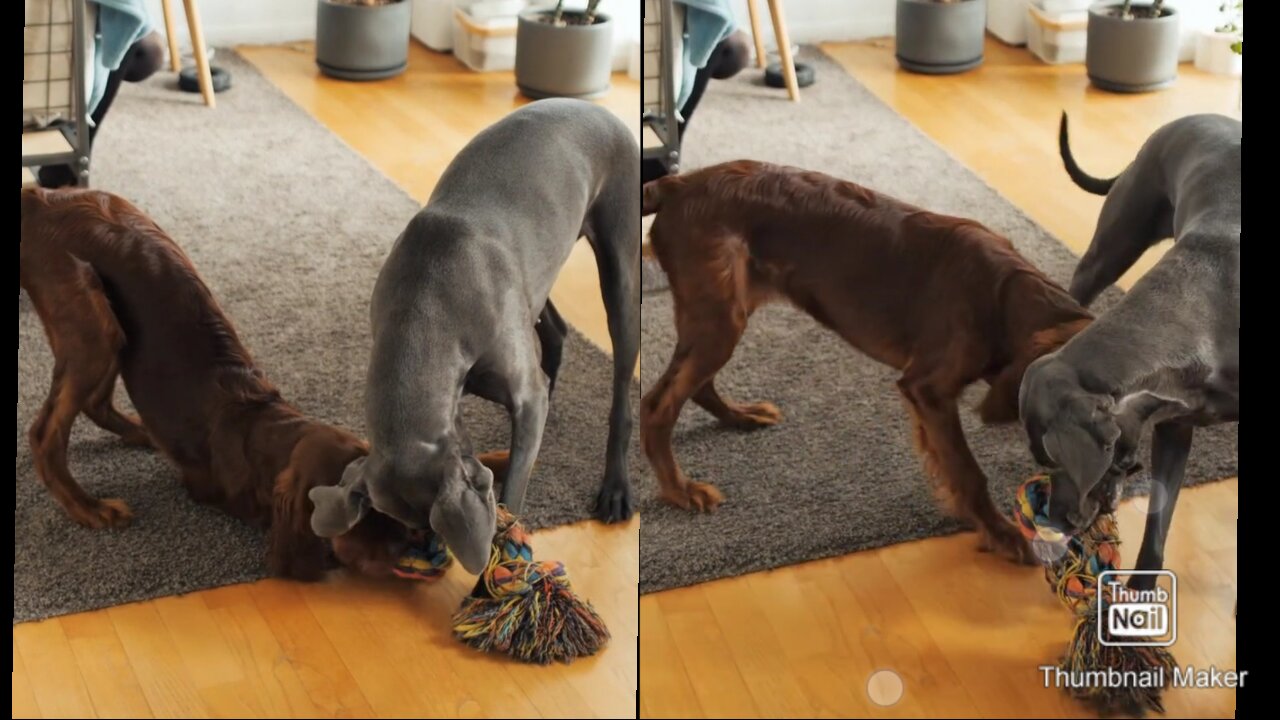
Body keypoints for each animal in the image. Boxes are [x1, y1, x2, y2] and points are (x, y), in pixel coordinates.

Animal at [18, 189, 509, 576]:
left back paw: (140, 435)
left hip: (105, 330)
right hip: (91, 319)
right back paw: (89, 507)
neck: (261, 428)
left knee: (95, 402)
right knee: (45, 433)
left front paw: (495, 462)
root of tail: (39, 198)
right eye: (351, 513)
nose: (412, 543)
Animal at [304, 99, 634, 571]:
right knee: (553, 328)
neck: (427, 303)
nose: (429, 551)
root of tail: (596, 108)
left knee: (621, 384)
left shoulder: (522, 395)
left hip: (619, 266)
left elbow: (513, 497)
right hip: (536, 277)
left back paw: (616, 488)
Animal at [640, 162, 1090, 561]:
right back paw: (680, 490)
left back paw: (740, 416)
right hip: (719, 316)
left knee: (697, 385)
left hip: (722, 313)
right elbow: (968, 471)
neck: (1004, 296)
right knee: (657, 404)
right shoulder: (927, 387)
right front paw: (1002, 534)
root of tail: (678, 184)